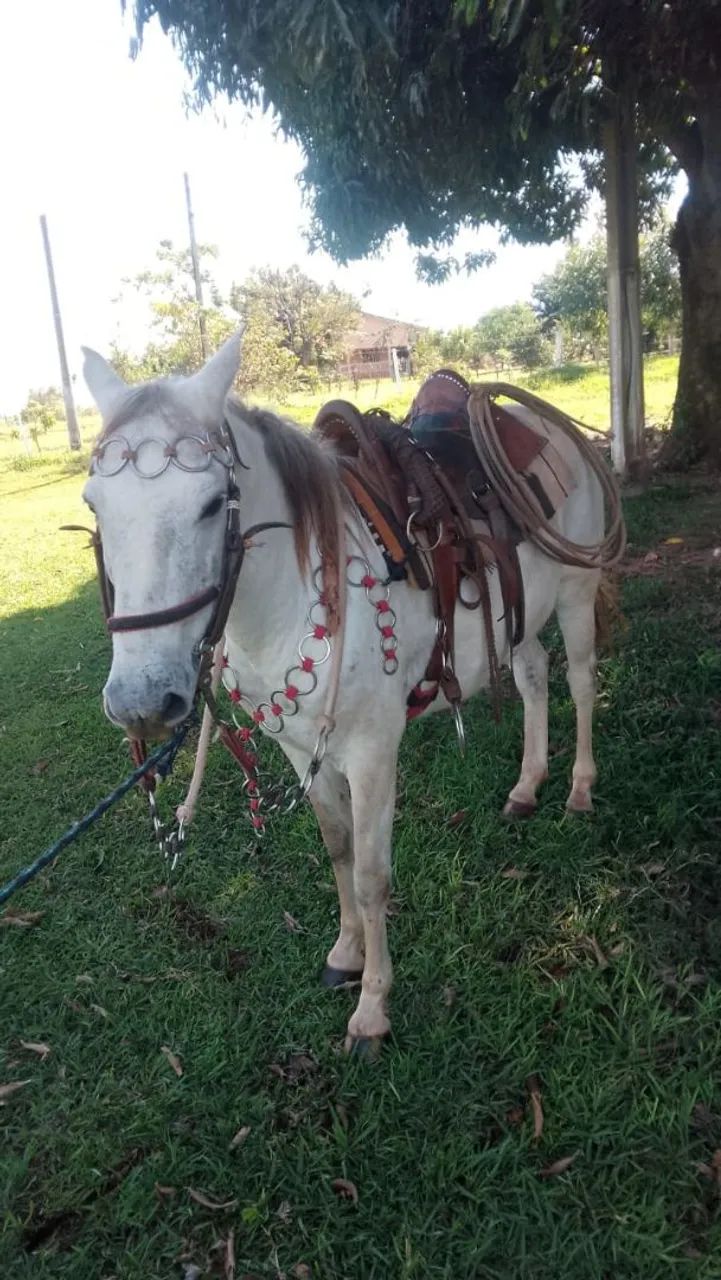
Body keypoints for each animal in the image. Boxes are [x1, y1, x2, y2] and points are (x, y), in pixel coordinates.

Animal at [81, 334, 615, 1054]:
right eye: (94, 506)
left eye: (211, 502)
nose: (142, 701)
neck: (294, 596)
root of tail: (545, 423)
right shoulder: (297, 748)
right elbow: (336, 850)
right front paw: (345, 955)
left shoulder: (371, 755)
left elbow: (369, 875)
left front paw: (372, 1008)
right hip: (518, 618)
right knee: (532, 677)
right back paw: (527, 786)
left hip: (576, 591)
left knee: (581, 682)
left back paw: (580, 788)